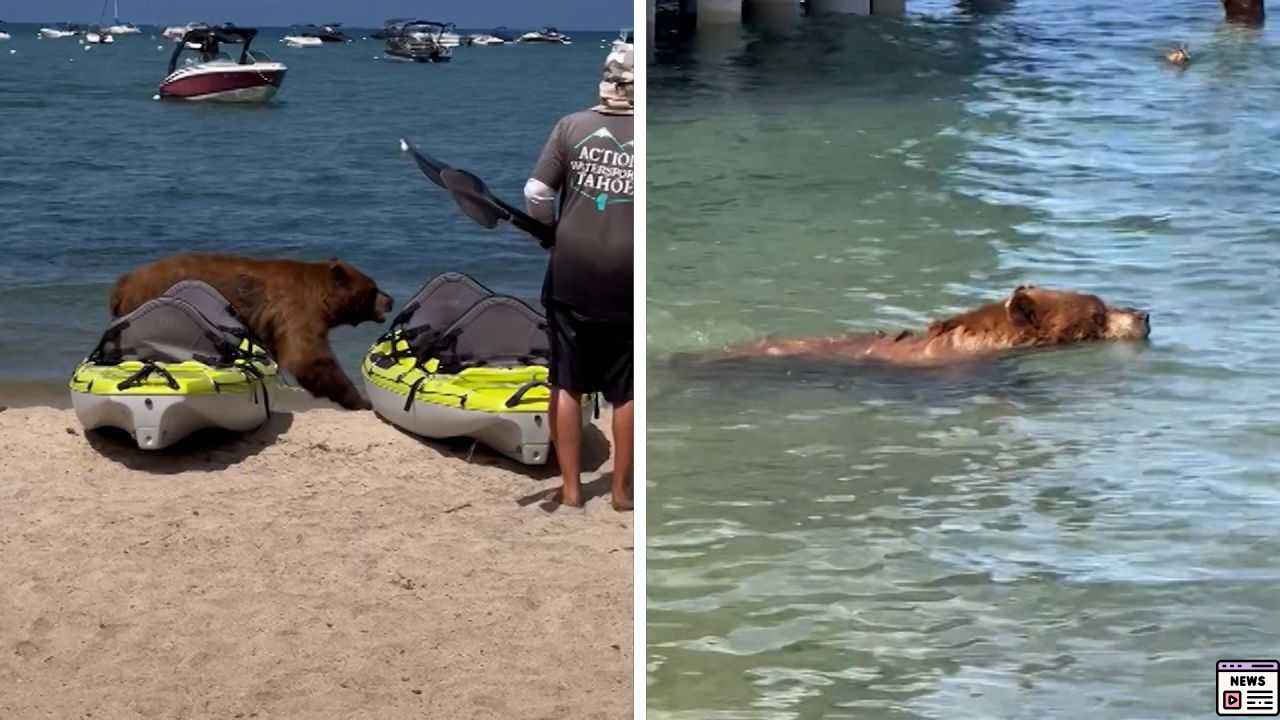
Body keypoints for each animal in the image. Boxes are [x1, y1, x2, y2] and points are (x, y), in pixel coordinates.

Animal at [108, 252, 391, 409]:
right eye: (373, 288)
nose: (390, 300)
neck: (322, 298)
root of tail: (124, 283)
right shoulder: (296, 309)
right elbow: (307, 358)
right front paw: (360, 401)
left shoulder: (273, 325)